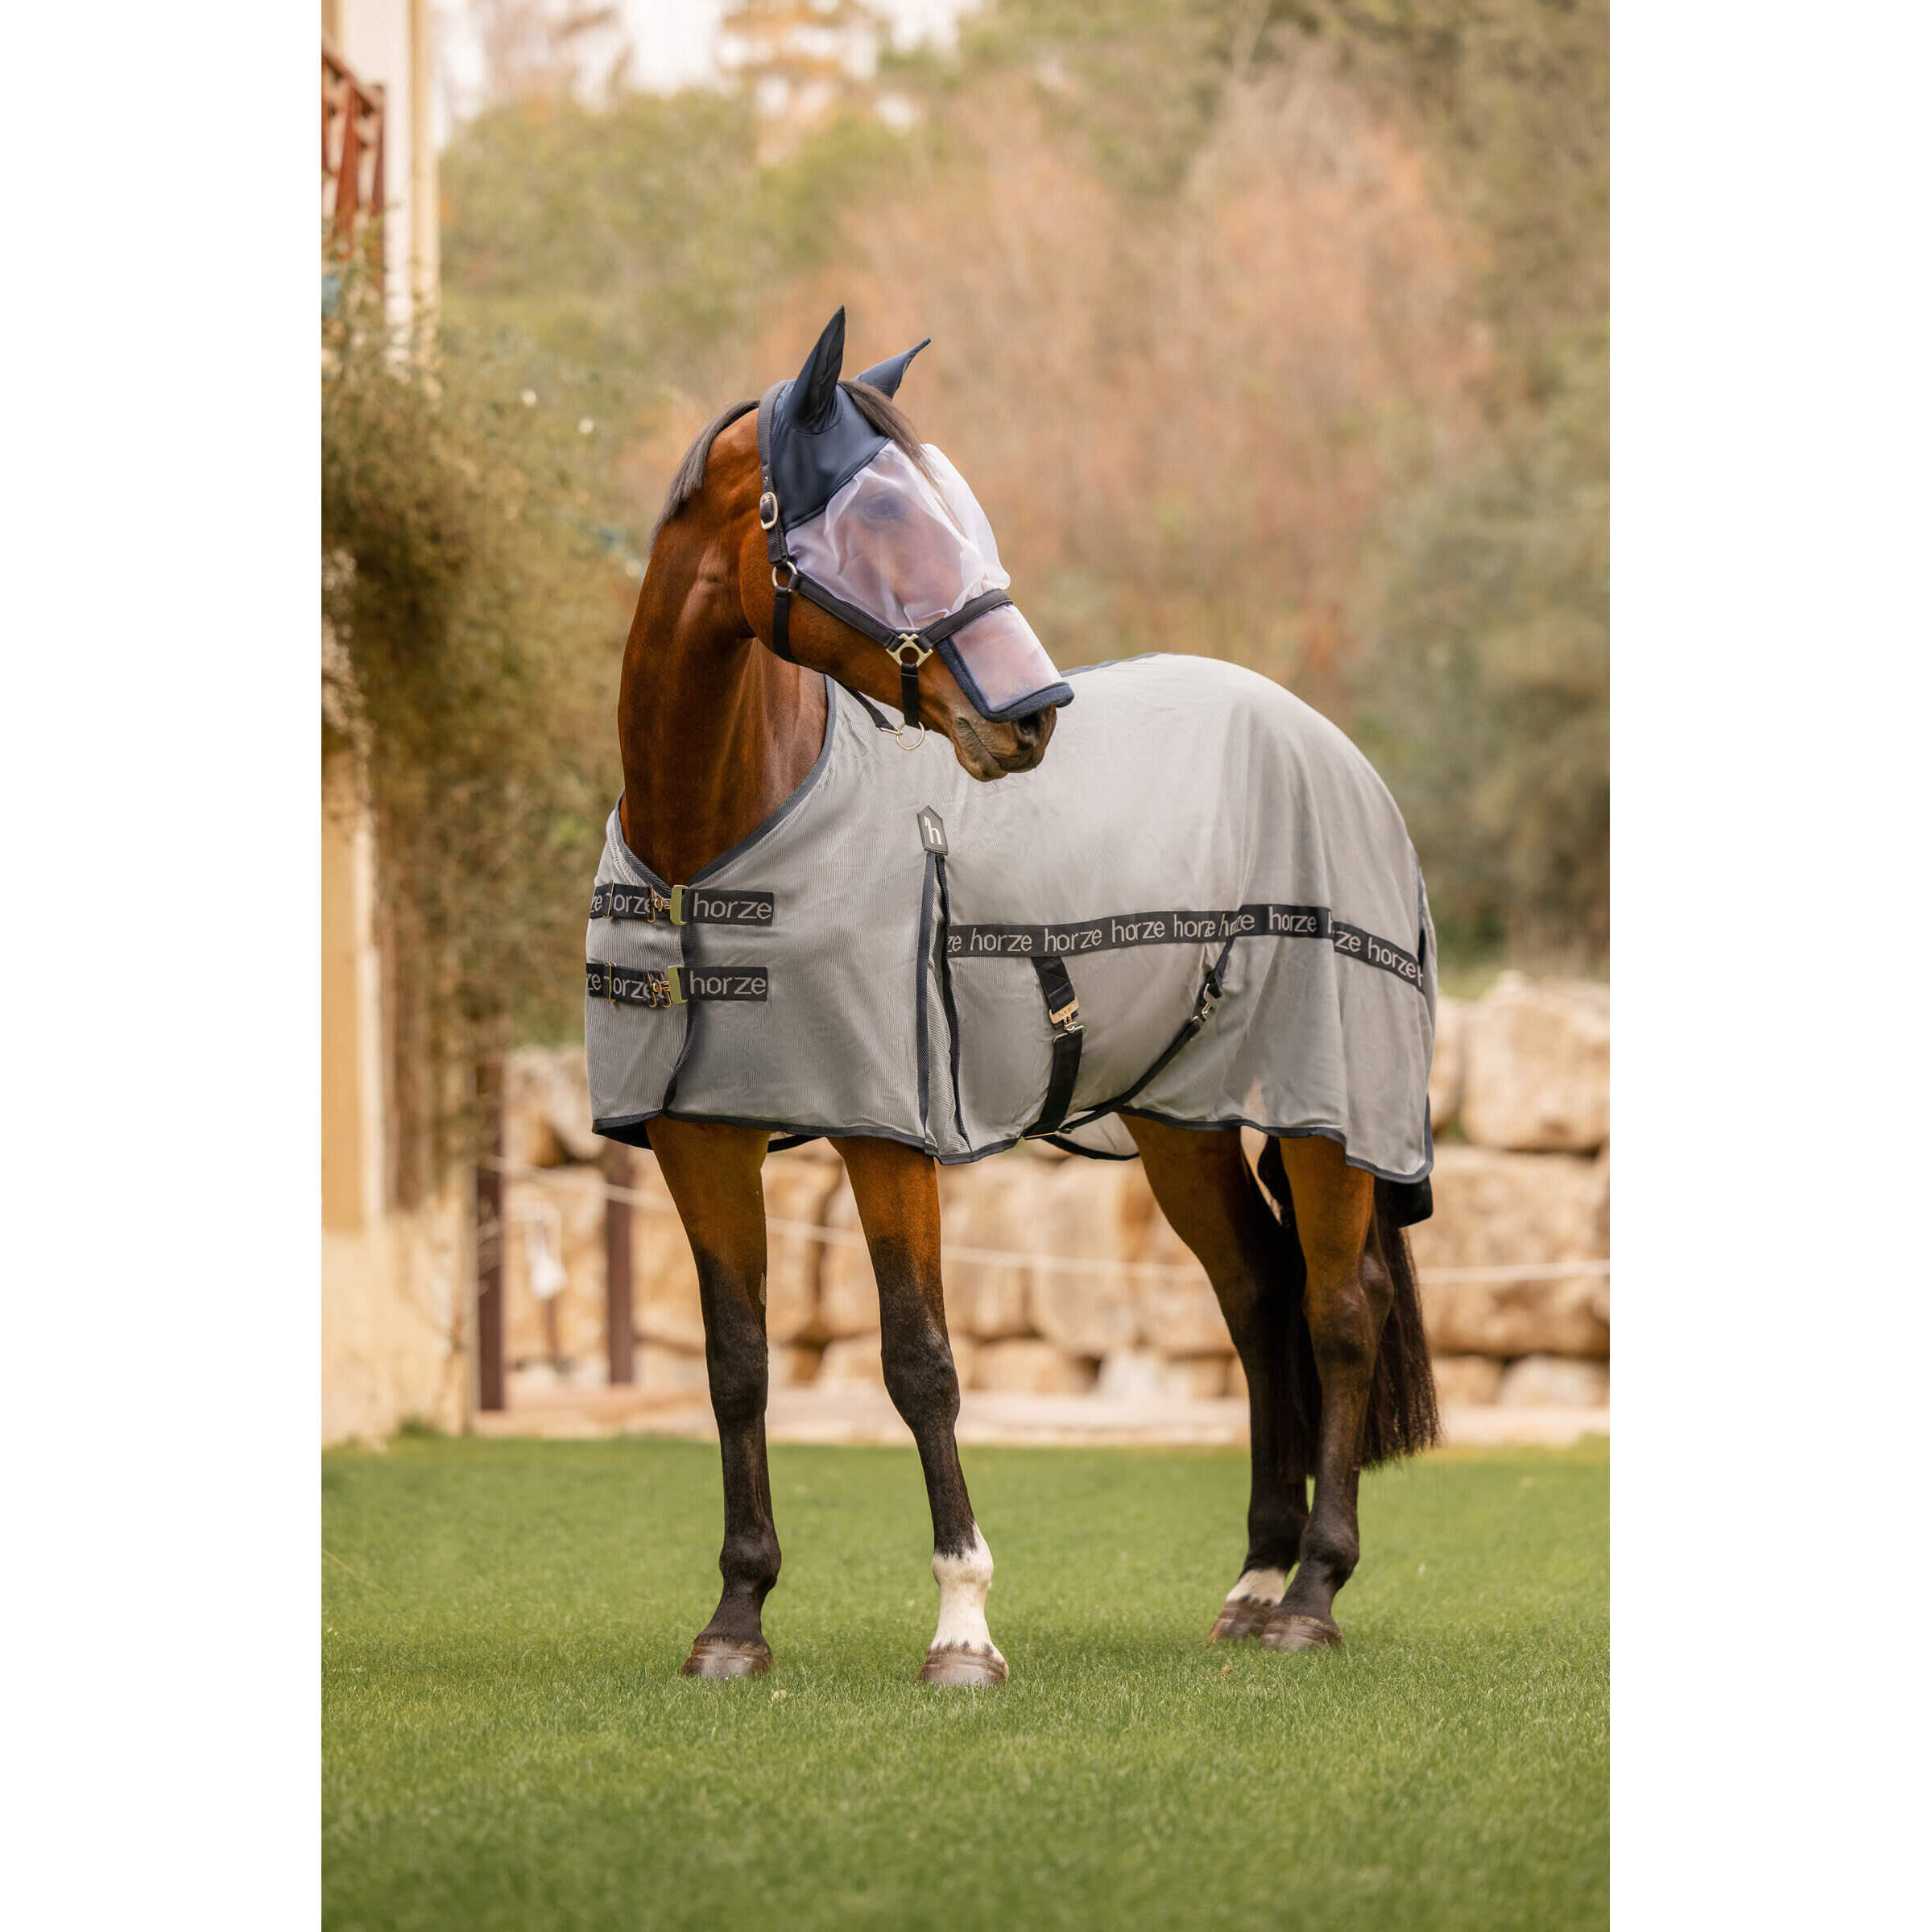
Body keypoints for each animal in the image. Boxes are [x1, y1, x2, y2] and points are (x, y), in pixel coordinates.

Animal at [604, 310, 1438, 1684]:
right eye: (881, 519)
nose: (1033, 717)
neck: (718, 841)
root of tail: (1321, 739)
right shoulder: (696, 1136)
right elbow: (734, 1363)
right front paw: (734, 1617)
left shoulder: (886, 1134)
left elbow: (919, 1359)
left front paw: (961, 1626)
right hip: (1182, 1118)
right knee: (1257, 1297)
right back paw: (1254, 1580)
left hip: (1329, 1113)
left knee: (1337, 1307)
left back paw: (1311, 1593)